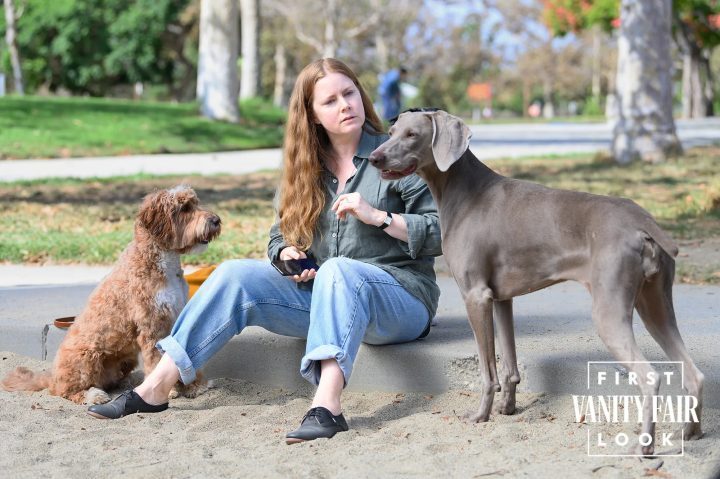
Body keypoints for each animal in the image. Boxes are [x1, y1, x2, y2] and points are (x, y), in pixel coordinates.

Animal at [0, 186, 219, 404]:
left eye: (196, 203)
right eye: (185, 208)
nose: (216, 220)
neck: (161, 261)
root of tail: (52, 377)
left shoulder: (175, 316)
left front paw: (195, 386)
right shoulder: (151, 325)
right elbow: (157, 361)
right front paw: (171, 390)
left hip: (126, 358)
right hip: (86, 359)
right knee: (65, 391)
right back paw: (94, 395)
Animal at [368, 109, 704, 458]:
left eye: (412, 135)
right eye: (391, 132)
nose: (374, 158)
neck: (464, 191)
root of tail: (644, 222)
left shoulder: (476, 296)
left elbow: (487, 370)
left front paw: (480, 415)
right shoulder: (501, 298)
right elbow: (509, 363)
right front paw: (507, 408)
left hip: (610, 309)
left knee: (650, 377)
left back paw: (644, 447)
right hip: (655, 304)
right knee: (694, 373)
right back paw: (689, 432)